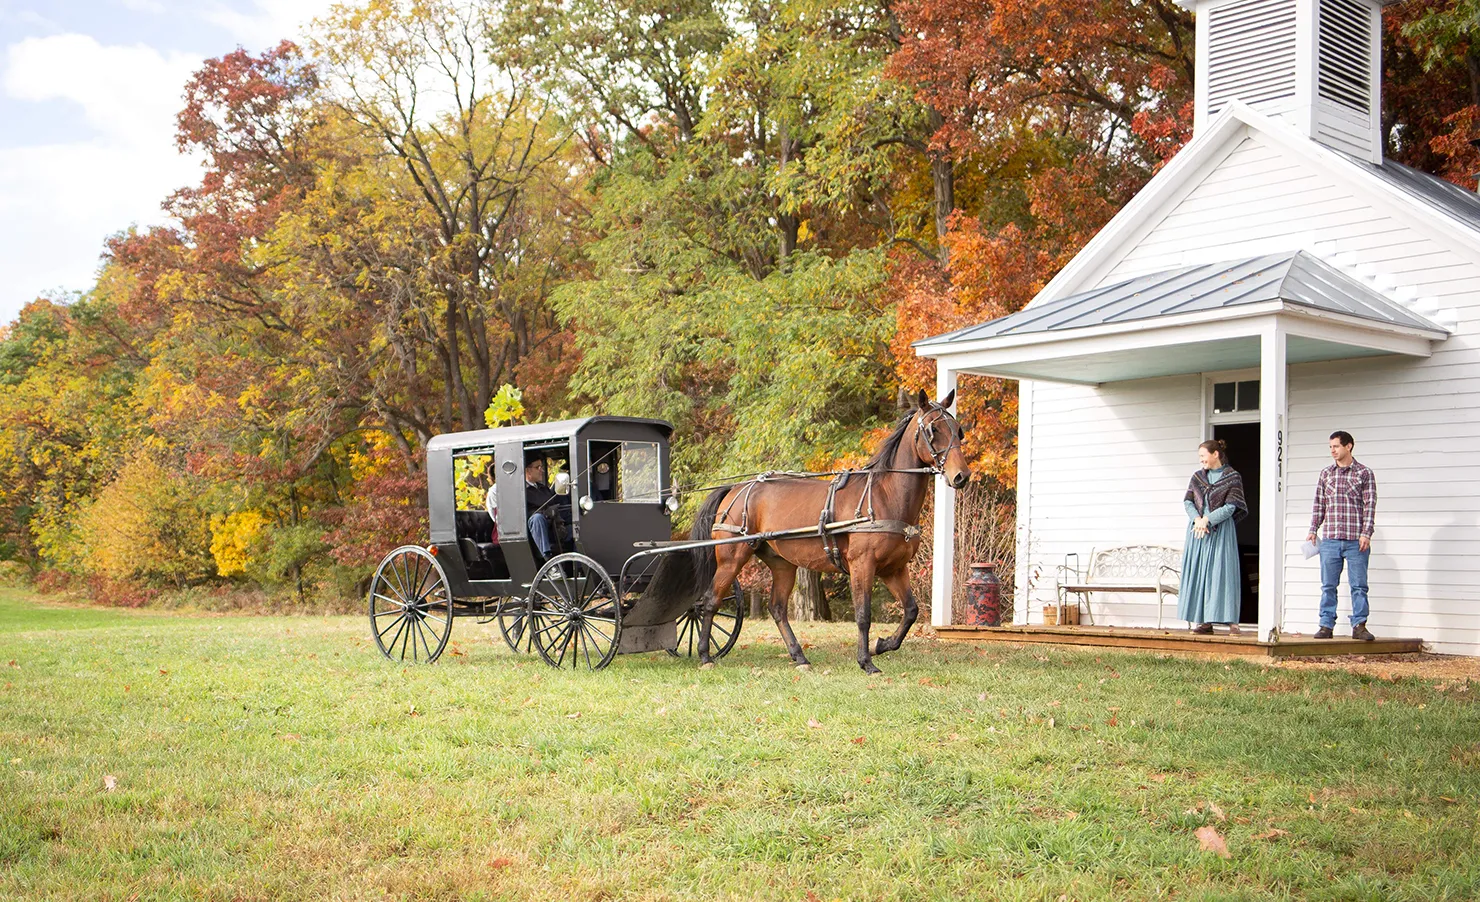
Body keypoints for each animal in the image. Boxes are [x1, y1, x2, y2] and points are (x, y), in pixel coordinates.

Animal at [687, 390, 970, 673]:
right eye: (933, 429)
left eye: (958, 430)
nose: (961, 476)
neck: (885, 495)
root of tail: (736, 488)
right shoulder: (862, 564)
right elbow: (863, 615)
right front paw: (866, 661)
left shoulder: (893, 568)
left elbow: (911, 610)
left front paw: (881, 645)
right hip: (731, 558)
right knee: (710, 601)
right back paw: (705, 655)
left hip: (782, 563)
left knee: (777, 608)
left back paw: (799, 657)